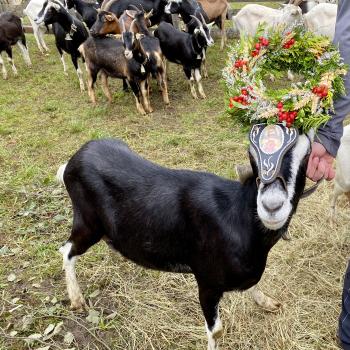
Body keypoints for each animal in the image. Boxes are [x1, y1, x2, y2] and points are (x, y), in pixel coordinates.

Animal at [56, 126, 314, 350]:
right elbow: (217, 331)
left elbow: (254, 285)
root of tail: (73, 161)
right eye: (252, 154)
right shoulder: (207, 281)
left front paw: (266, 302)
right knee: (67, 250)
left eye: (306, 155)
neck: (238, 216)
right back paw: (76, 299)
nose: (272, 206)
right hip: (88, 222)